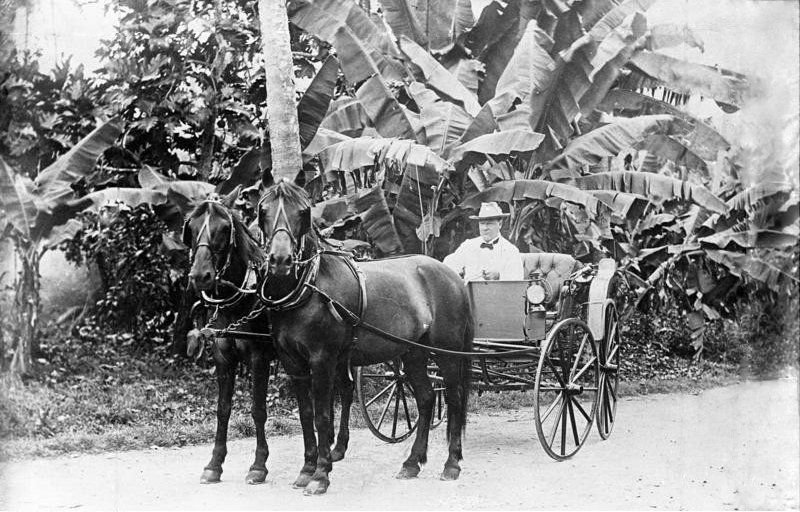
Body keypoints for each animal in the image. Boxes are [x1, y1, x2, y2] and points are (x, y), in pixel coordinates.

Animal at [184, 188, 354, 484]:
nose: (200, 276)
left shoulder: (259, 358)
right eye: (191, 228)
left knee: (346, 389)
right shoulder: (223, 357)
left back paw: (339, 446)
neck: (240, 299)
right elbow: (223, 409)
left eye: (224, 228)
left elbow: (258, 410)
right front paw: (215, 463)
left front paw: (258, 465)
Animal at [256, 180, 472, 496]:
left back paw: (452, 464)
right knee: (426, 398)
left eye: (303, 212)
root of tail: (453, 275)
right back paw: (412, 463)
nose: (281, 260)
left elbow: (322, 416)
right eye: (263, 210)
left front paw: (321, 475)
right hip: (413, 354)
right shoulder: (293, 363)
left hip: (447, 352)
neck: (312, 287)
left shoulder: (323, 360)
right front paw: (307, 469)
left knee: (454, 400)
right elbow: (306, 415)